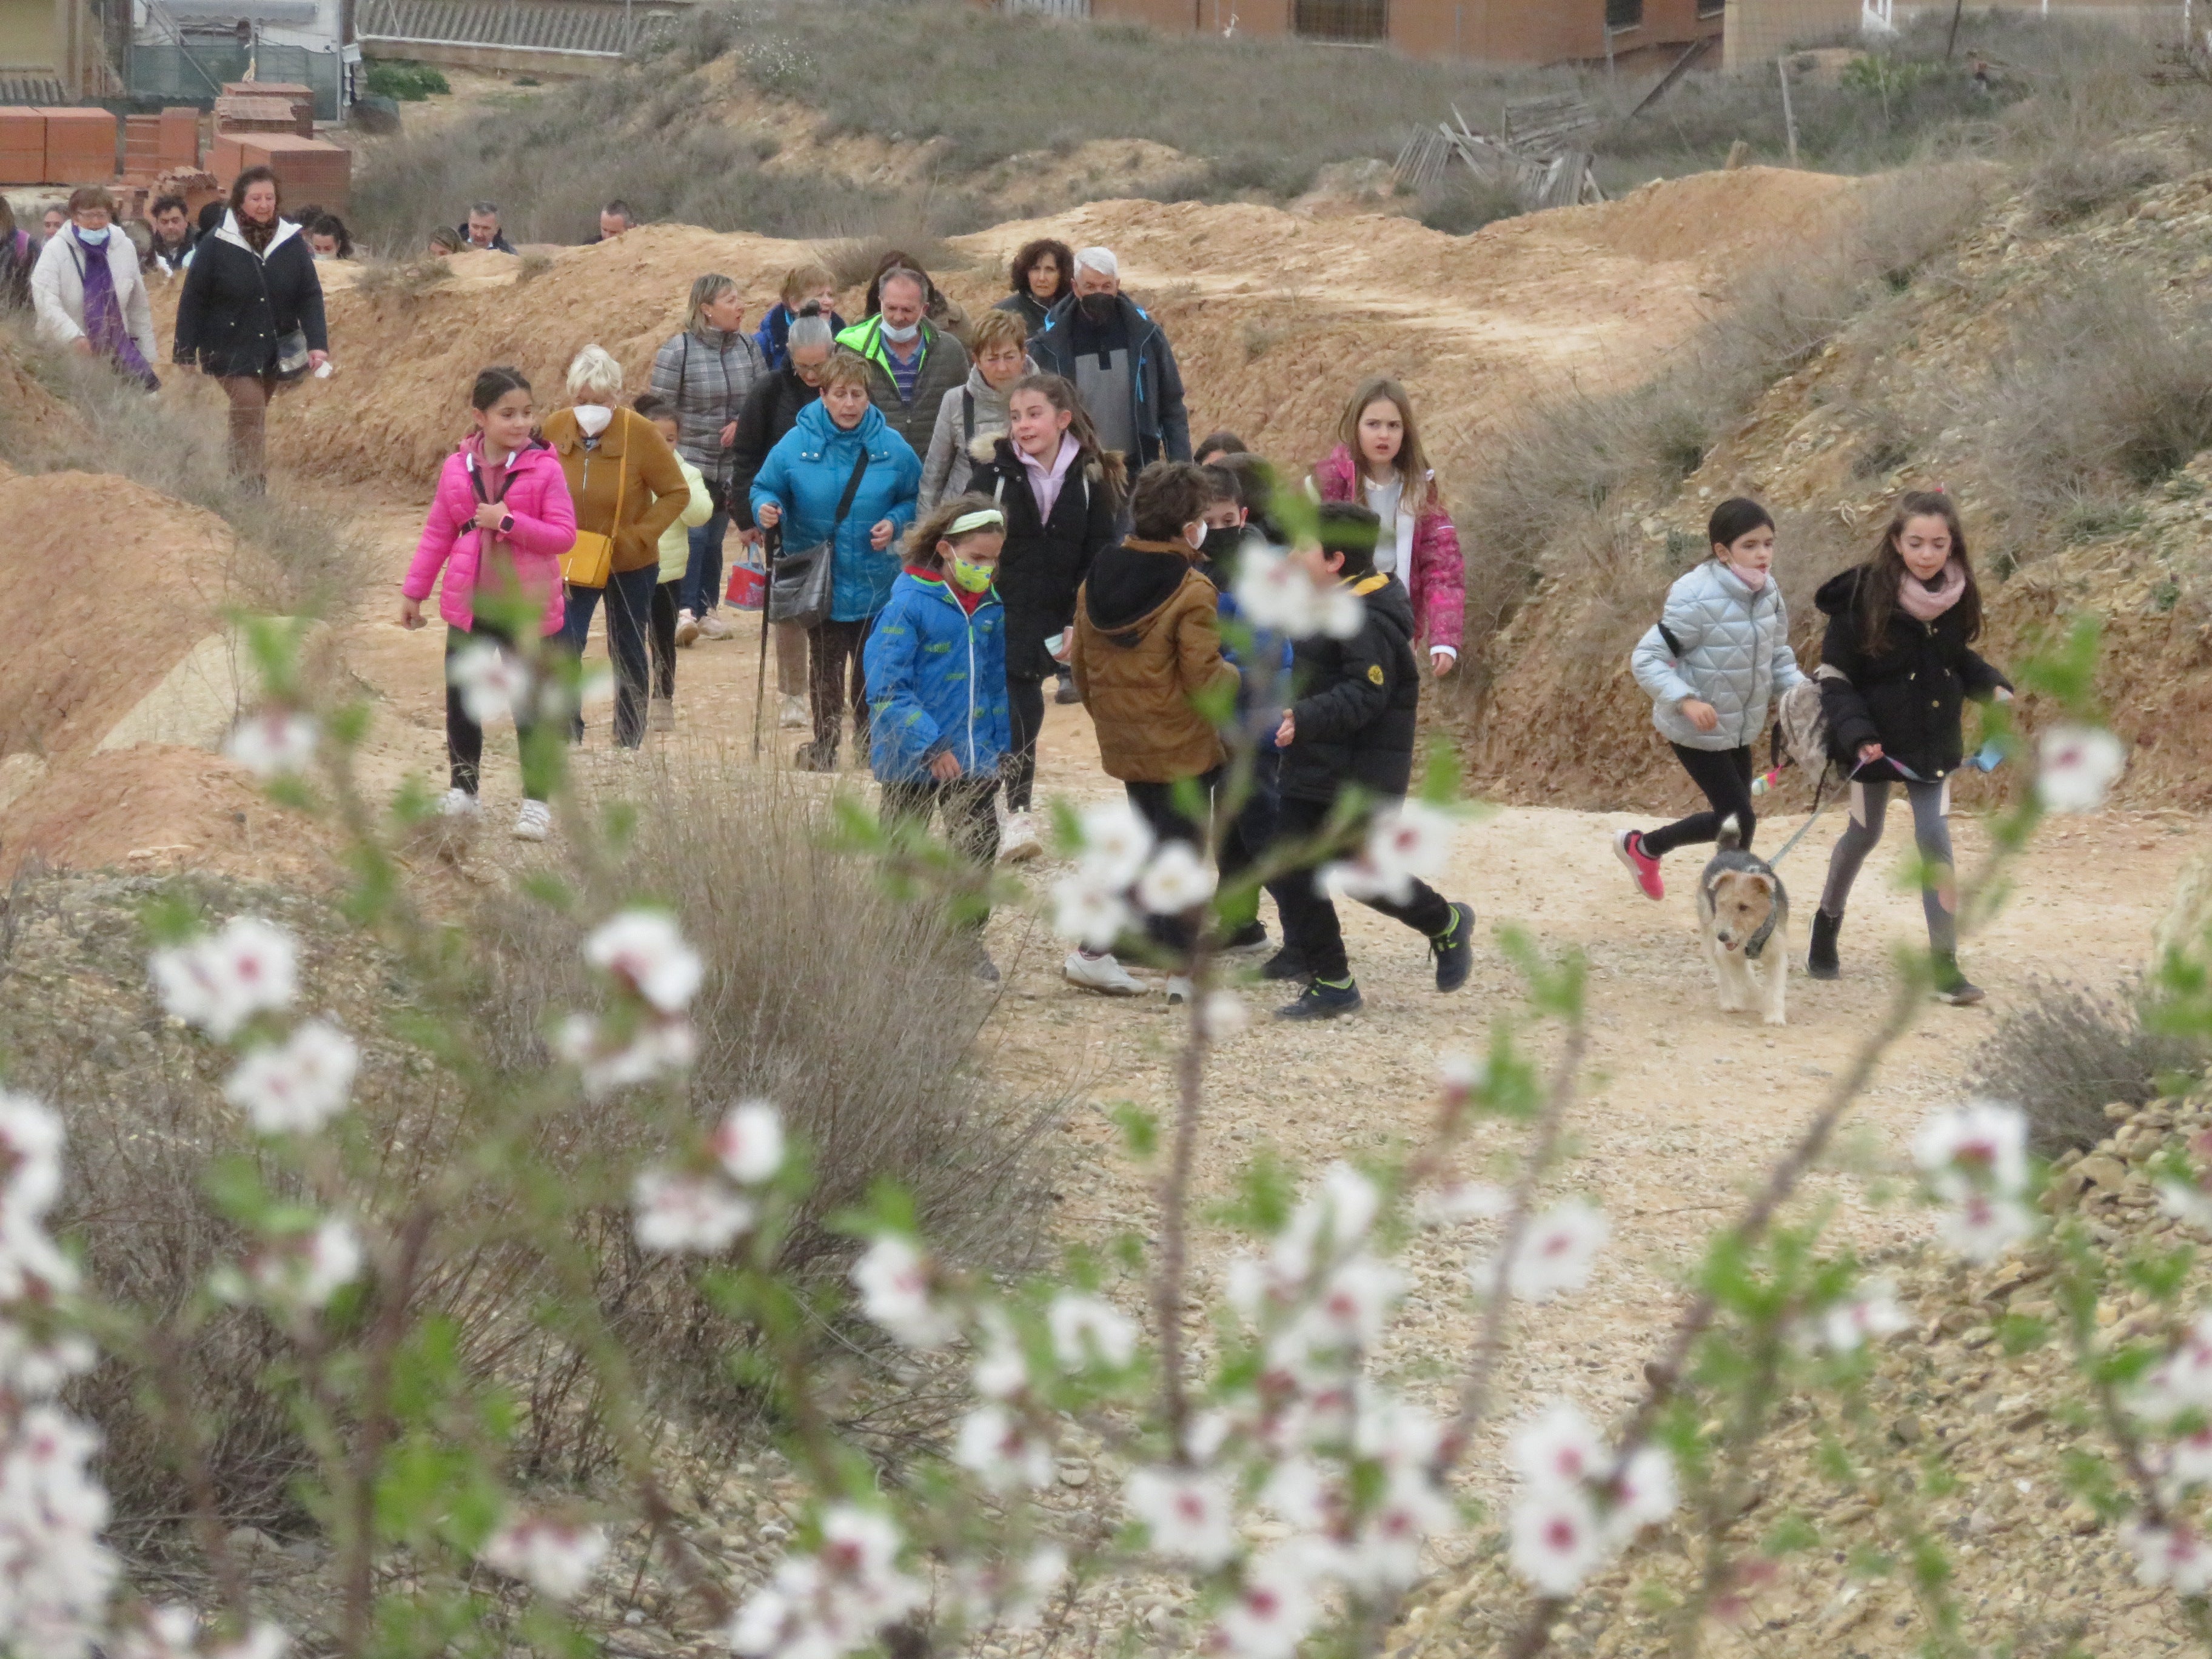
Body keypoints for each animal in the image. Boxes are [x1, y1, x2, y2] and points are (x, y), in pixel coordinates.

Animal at [1698, 814, 1787, 1035]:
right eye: (1721, 904)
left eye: (1744, 907)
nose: (1723, 936)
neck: (1753, 936)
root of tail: (1728, 850)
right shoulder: (1729, 953)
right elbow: (1746, 981)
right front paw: (1757, 1001)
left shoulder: (1777, 954)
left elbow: (1775, 987)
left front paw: (1775, 1017)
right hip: (1711, 940)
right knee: (1723, 975)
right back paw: (1729, 1002)